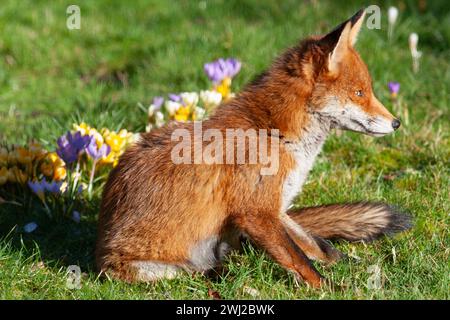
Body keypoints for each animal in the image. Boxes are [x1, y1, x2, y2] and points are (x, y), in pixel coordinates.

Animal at [97, 8, 412, 288]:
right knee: (201, 272)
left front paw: (354, 267)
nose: (396, 123)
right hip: (155, 268)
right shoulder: (257, 212)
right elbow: (300, 260)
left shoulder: (278, 207)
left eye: (367, 90)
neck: (275, 133)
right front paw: (332, 288)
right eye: (359, 93)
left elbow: (318, 246)